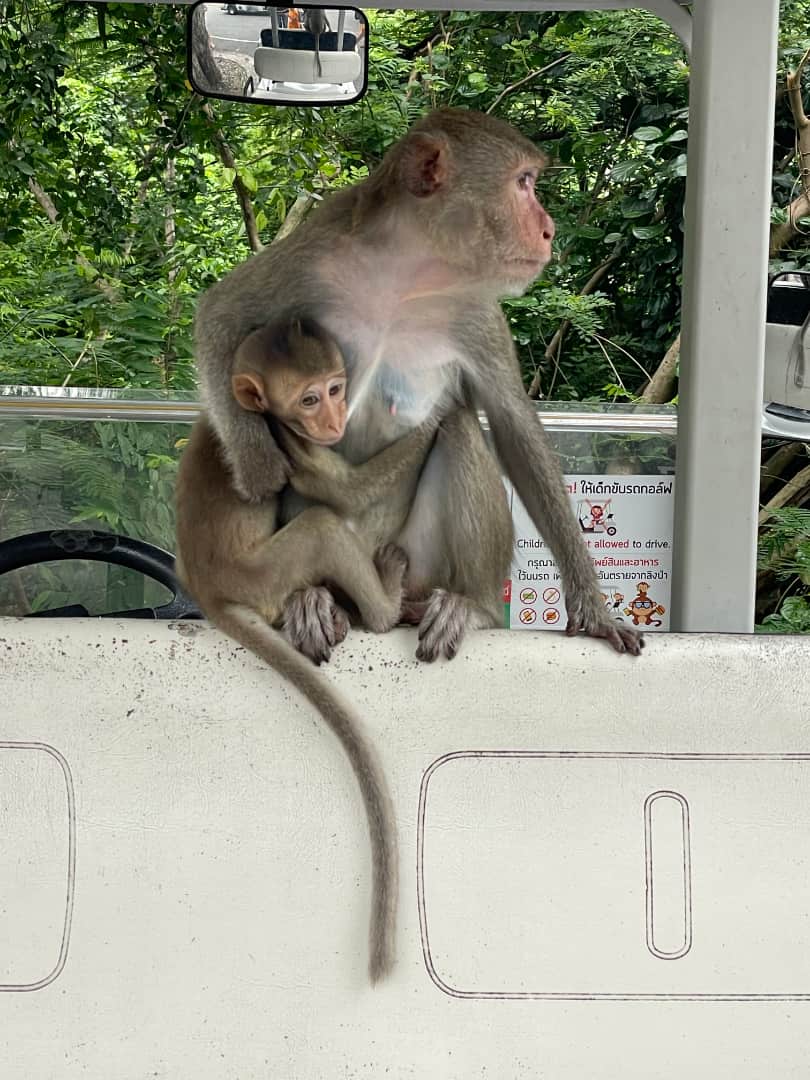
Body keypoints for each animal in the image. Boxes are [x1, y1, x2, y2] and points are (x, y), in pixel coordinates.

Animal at [174, 315, 438, 984]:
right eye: (309, 399)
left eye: (338, 388)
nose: (335, 419)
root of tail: (210, 591)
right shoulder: (284, 442)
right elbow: (346, 493)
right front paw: (441, 415)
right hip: (264, 572)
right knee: (322, 523)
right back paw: (386, 600)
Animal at [196, 111, 648, 665]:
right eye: (523, 183)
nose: (549, 230)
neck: (405, 272)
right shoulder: (314, 252)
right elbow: (221, 314)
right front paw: (258, 463)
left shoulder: (475, 307)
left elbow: (513, 426)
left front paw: (593, 610)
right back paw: (313, 600)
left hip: (420, 561)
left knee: (459, 430)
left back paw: (468, 605)